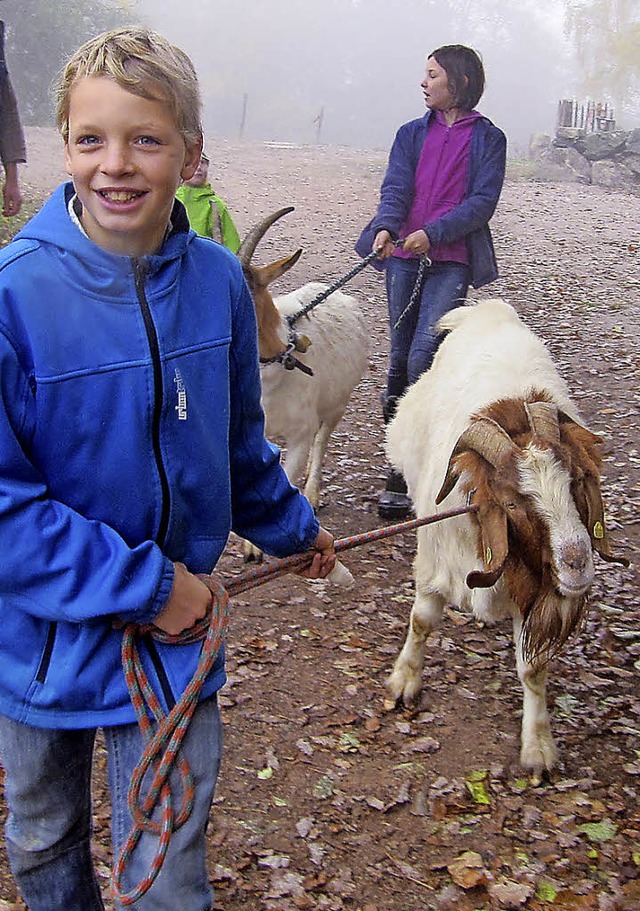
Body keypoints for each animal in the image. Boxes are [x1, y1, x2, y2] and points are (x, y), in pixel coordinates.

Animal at [239, 209, 370, 560]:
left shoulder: (300, 431)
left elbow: (290, 472)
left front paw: (254, 547)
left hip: (338, 403)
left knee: (322, 440)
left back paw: (312, 495)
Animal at [384, 302, 632, 780]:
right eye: (513, 503)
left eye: (576, 481)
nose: (577, 564)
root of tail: (487, 309)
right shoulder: (436, 560)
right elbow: (422, 621)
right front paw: (404, 682)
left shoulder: (535, 588)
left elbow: (533, 668)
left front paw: (538, 748)